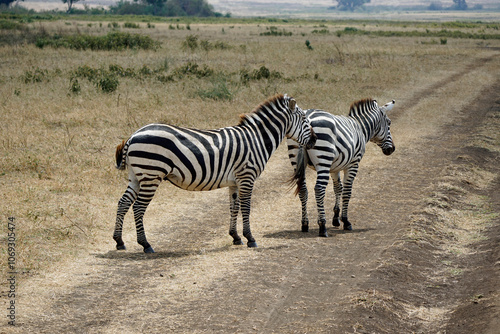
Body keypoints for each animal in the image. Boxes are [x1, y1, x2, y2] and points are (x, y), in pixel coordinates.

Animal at [113, 92, 316, 252]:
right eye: (305, 121)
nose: (314, 140)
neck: (257, 138)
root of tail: (133, 136)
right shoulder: (247, 176)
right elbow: (246, 207)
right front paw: (250, 238)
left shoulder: (235, 181)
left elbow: (234, 207)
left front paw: (235, 237)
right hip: (151, 175)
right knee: (138, 207)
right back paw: (145, 244)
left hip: (136, 176)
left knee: (123, 203)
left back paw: (119, 241)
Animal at [288, 97, 396, 237]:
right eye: (389, 123)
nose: (392, 149)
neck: (360, 128)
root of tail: (307, 117)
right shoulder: (353, 164)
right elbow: (347, 191)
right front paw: (345, 221)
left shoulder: (335, 167)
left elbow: (338, 188)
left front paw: (335, 218)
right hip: (323, 159)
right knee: (319, 189)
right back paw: (322, 226)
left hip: (296, 158)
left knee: (303, 190)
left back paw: (305, 224)